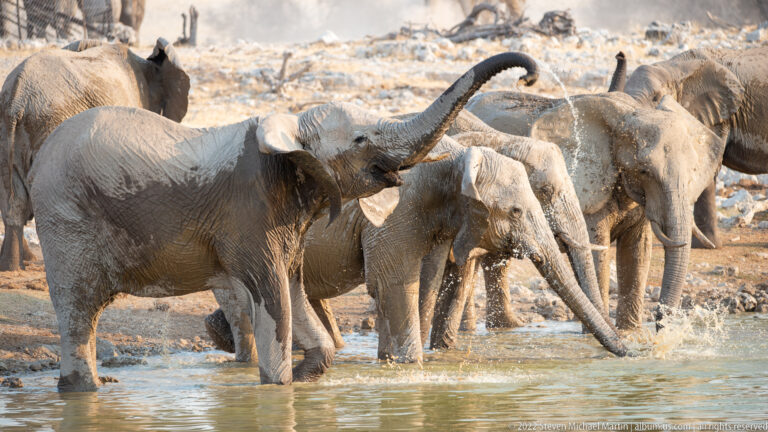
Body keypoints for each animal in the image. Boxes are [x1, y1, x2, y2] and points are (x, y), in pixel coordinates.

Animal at [28, 52, 540, 391]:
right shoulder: (250, 213)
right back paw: (85, 391)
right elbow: (273, 295)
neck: (291, 131)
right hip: (65, 218)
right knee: (78, 310)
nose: (530, 75)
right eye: (361, 138)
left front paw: (306, 371)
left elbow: (293, 288)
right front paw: (279, 388)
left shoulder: (288, 220)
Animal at [206, 137, 627, 364]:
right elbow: (391, 284)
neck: (457, 156)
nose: (632, 353)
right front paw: (408, 367)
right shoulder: (393, 213)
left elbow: (426, 283)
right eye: (516, 211)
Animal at [464, 91, 724, 329]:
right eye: (644, 171)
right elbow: (598, 248)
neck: (630, 113)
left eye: (693, 172)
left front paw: (631, 334)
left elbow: (637, 252)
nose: (661, 324)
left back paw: (506, 327)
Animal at [610, 47, 767, 251]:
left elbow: (707, 164)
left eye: (655, 98)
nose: (619, 54)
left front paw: (705, 245)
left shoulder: (716, 116)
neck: (674, 68)